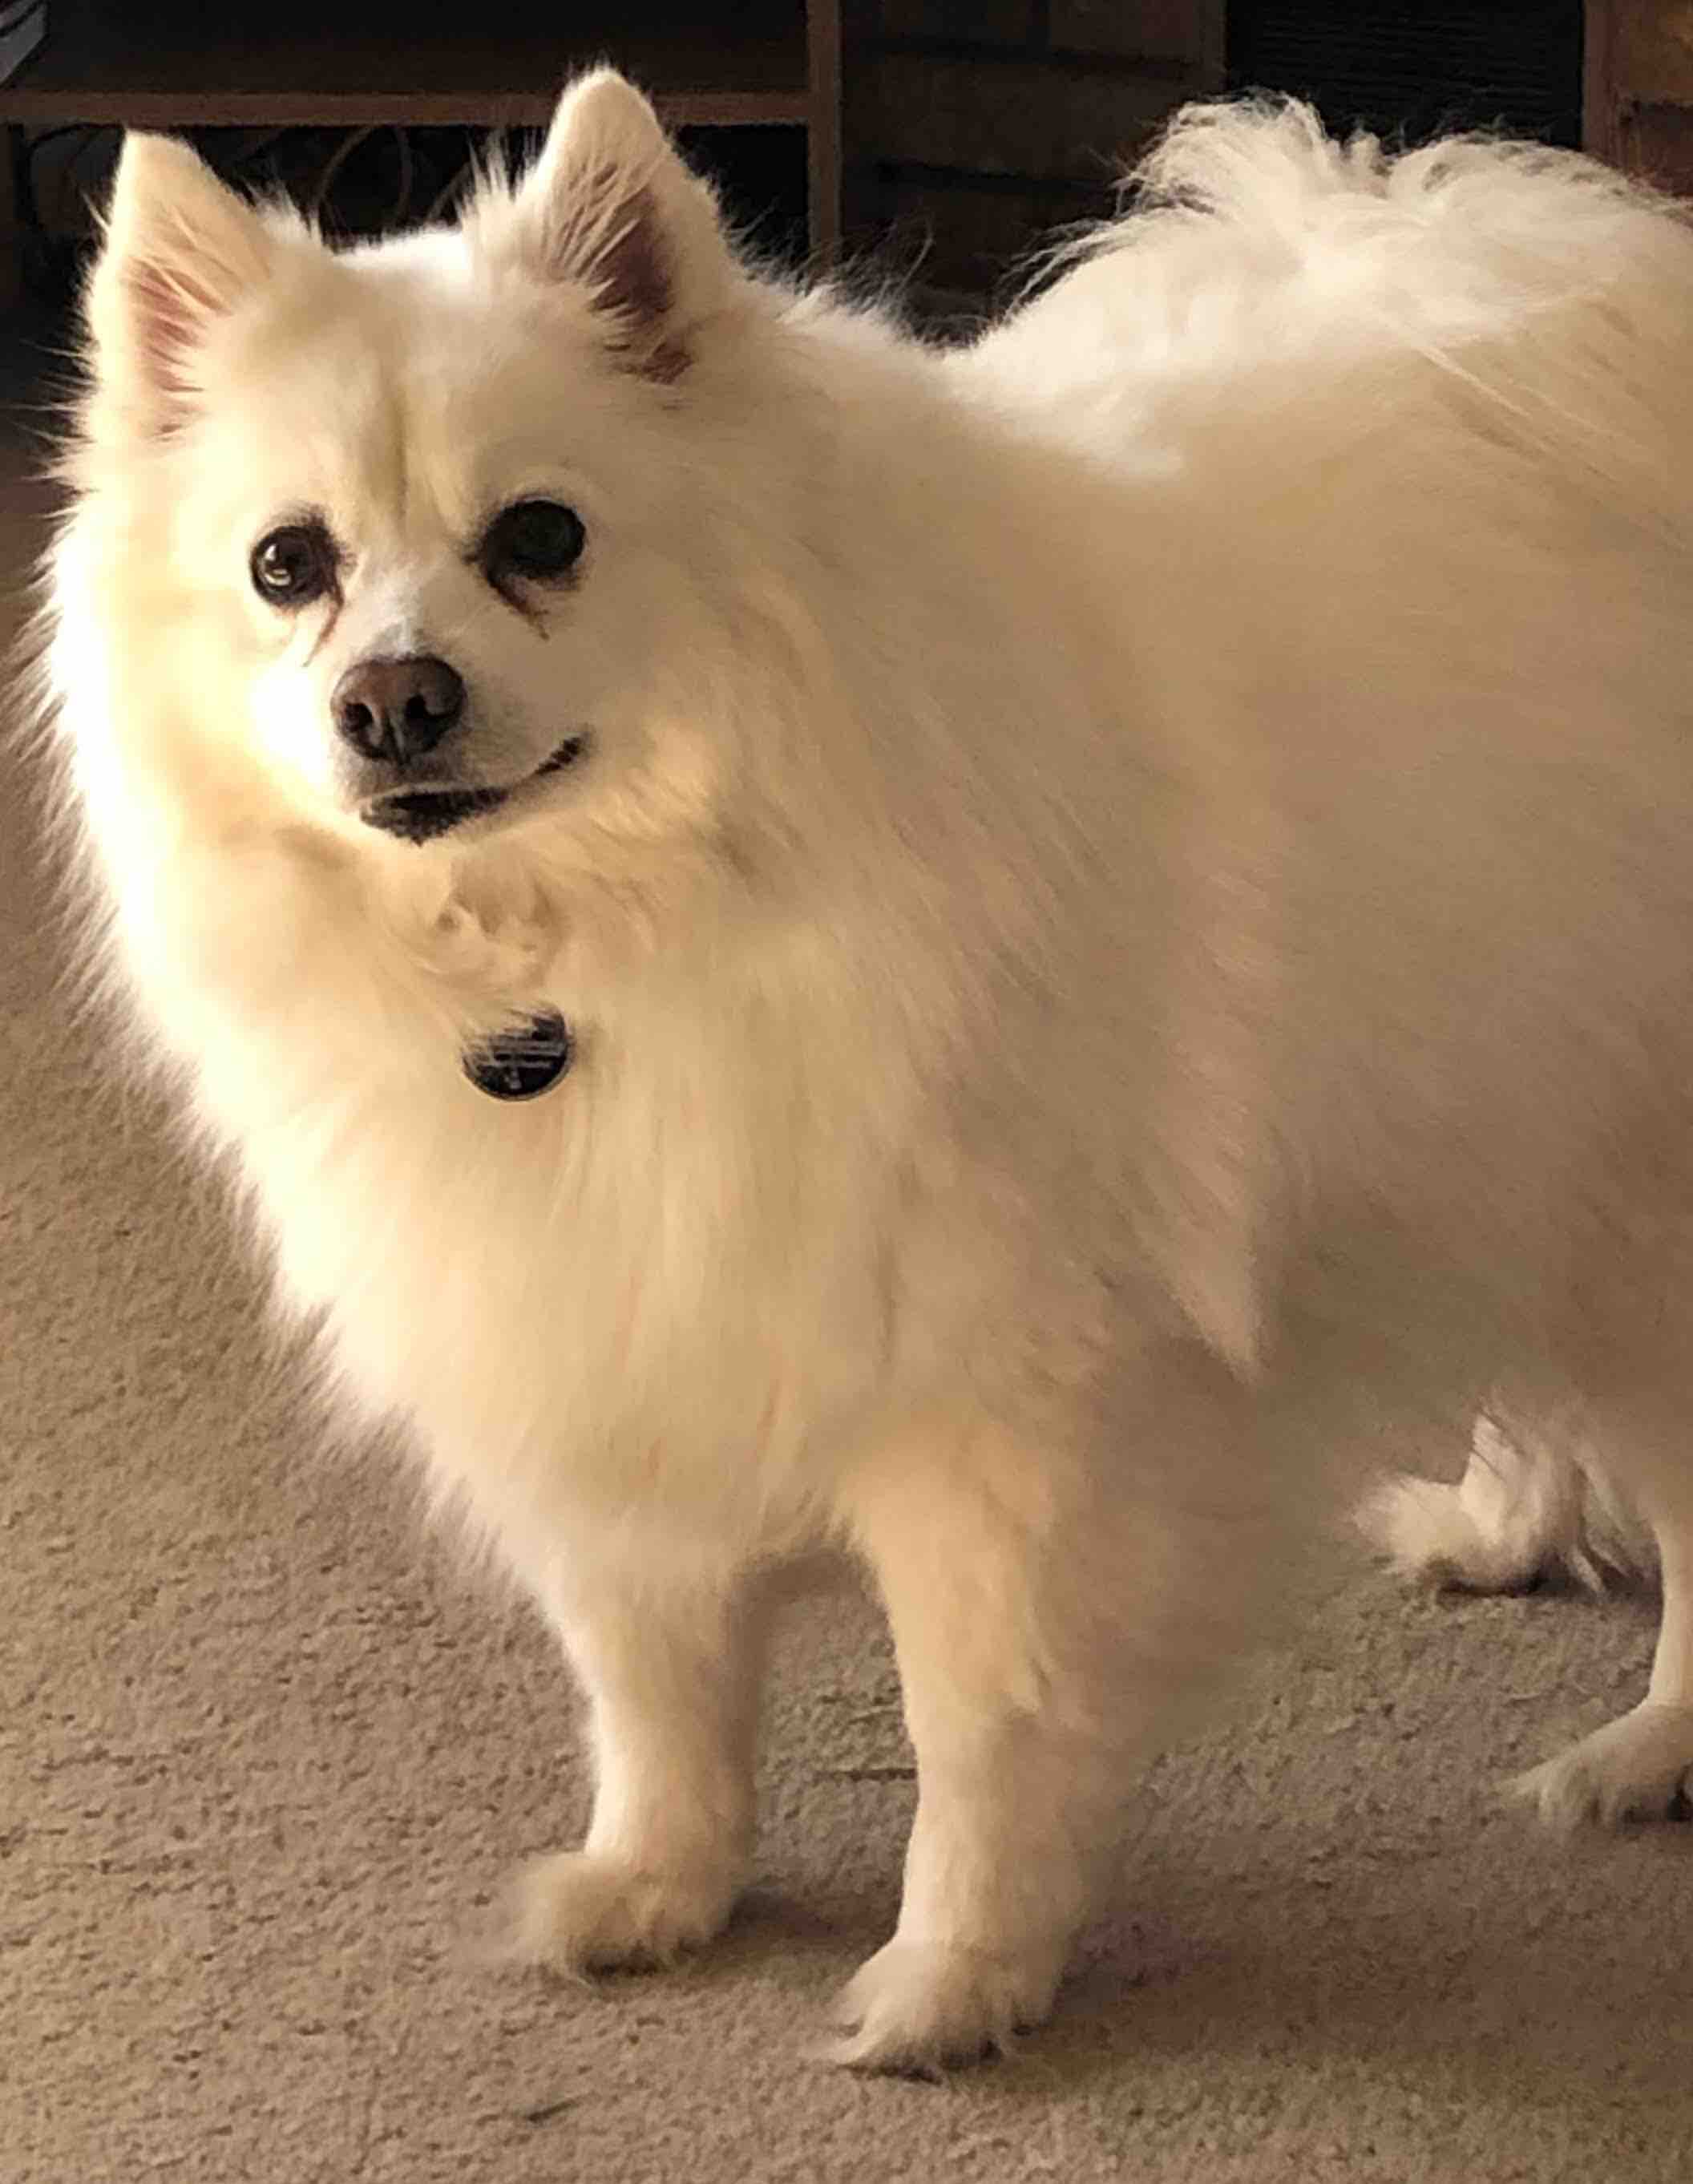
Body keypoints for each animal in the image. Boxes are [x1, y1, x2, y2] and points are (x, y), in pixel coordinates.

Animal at [34, 71, 1693, 2069]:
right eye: (291, 566)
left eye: (540, 537)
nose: (395, 701)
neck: (593, 945)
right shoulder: (605, 1356)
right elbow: (653, 1685)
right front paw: (657, 1890)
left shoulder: (997, 1429)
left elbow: (976, 1733)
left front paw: (951, 1987)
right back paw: (1500, 1530)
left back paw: (1648, 1752)